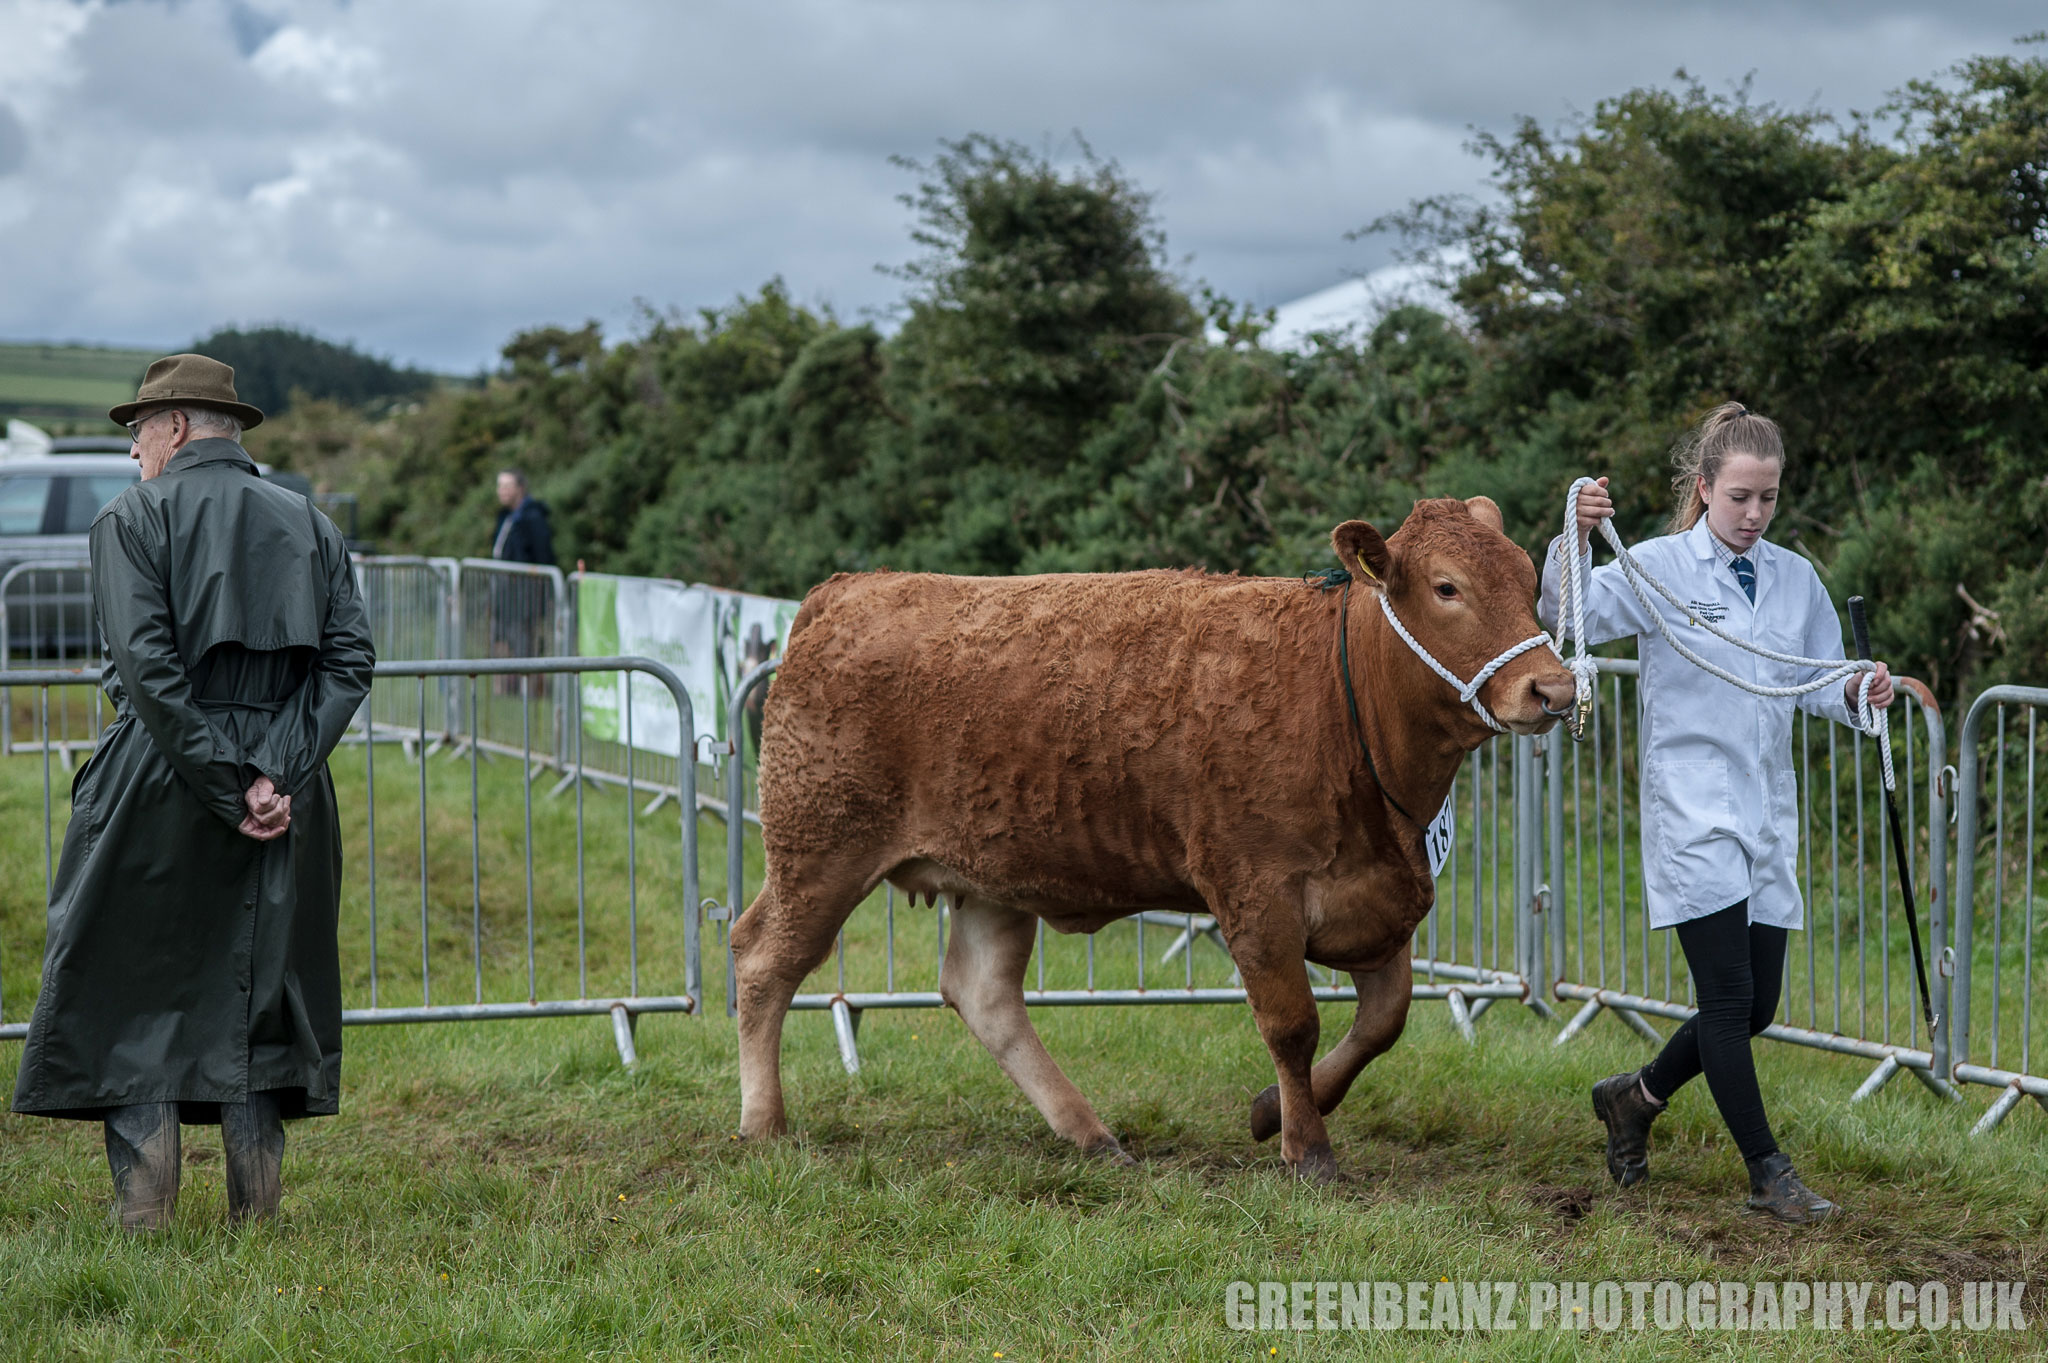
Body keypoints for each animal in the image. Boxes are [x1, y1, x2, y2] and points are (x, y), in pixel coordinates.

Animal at [737, 493, 1581, 1170]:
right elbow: (1293, 1024)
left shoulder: (1378, 896)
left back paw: (1091, 1133)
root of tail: (849, 590)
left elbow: (1383, 1021)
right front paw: (1307, 1147)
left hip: (992, 876)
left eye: (1530, 580)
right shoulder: (1256, 891)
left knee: (982, 992)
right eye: (1447, 586)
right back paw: (764, 1123)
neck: (1341, 700)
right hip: (820, 848)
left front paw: (1271, 1111)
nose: (1555, 687)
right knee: (762, 962)